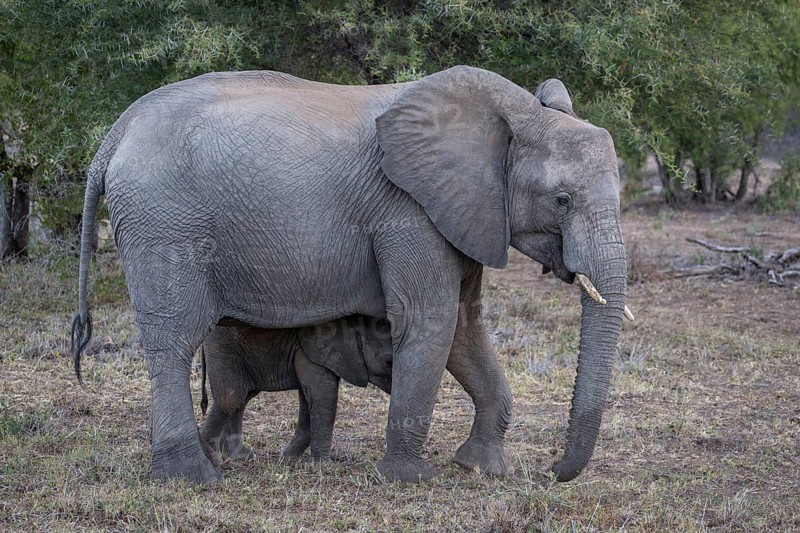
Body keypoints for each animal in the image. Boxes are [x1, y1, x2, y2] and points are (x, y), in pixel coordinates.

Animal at [199, 316, 393, 463]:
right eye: (388, 362)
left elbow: (309, 398)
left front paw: (287, 460)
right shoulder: (313, 349)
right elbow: (323, 397)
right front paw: (324, 466)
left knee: (242, 398)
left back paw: (241, 457)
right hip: (223, 349)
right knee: (231, 398)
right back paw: (213, 458)